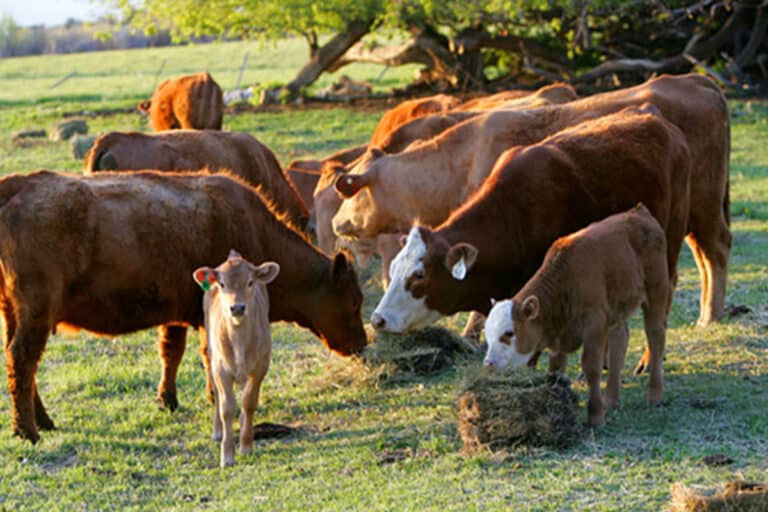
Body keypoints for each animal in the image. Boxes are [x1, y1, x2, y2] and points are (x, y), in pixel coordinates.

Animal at [0, 170, 366, 443]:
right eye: (354, 302)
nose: (361, 345)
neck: (251, 228)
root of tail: (16, 185)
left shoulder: (176, 314)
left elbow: (171, 352)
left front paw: (168, 400)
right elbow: (210, 355)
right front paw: (213, 397)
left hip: (15, 313)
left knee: (18, 359)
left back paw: (43, 421)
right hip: (36, 313)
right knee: (23, 358)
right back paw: (28, 430)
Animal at [193, 251, 280, 467]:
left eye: (250, 282)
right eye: (222, 284)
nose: (237, 307)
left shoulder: (260, 367)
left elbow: (249, 402)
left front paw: (246, 445)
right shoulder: (220, 369)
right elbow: (227, 407)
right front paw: (227, 455)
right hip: (211, 355)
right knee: (217, 393)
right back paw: (217, 431)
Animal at [334, 73, 730, 326]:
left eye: (353, 194)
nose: (337, 222)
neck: (461, 159)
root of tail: (697, 81)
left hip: (703, 208)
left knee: (716, 250)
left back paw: (709, 316)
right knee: (704, 257)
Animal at [370, 105, 691, 375]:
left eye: (419, 274)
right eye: (394, 268)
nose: (377, 319)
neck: (514, 215)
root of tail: (655, 117)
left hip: (670, 241)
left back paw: (649, 358)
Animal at [483, 204, 669, 427]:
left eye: (509, 333)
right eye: (487, 335)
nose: (488, 364)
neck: (567, 280)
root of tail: (639, 211)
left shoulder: (595, 324)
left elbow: (591, 367)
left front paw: (595, 416)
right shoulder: (558, 338)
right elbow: (555, 369)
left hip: (656, 293)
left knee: (656, 337)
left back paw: (655, 395)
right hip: (617, 309)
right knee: (619, 341)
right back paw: (611, 400)